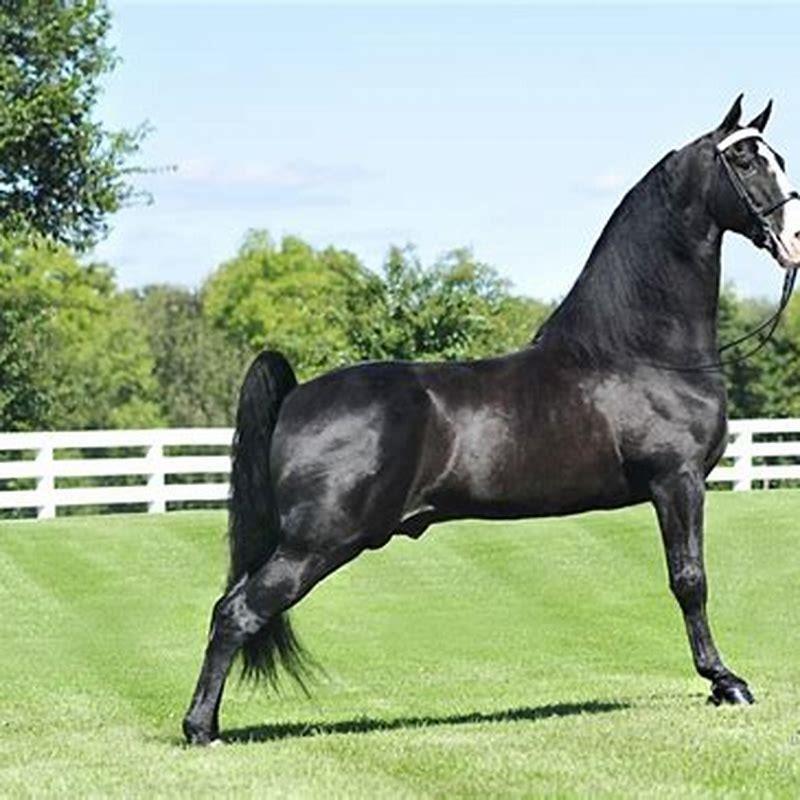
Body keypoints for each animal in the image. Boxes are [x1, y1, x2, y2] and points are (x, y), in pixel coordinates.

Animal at [184, 96, 800, 745]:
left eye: (778, 157)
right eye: (744, 159)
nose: (792, 237)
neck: (641, 349)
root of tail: (298, 395)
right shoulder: (676, 482)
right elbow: (690, 581)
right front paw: (725, 682)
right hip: (317, 542)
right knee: (238, 611)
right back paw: (200, 728)